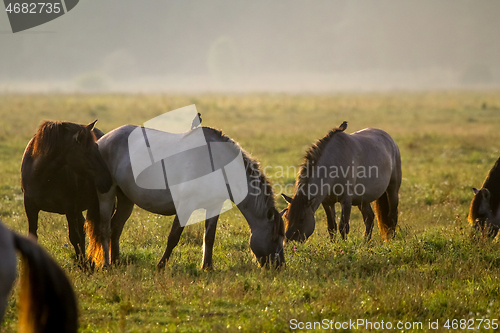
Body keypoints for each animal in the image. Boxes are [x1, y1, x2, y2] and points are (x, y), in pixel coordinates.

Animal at [20, 120, 112, 260]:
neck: (41, 175)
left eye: (97, 147)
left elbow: (74, 237)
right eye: (86, 152)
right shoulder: (30, 206)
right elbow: (33, 236)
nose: (108, 181)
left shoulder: (69, 207)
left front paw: (82, 264)